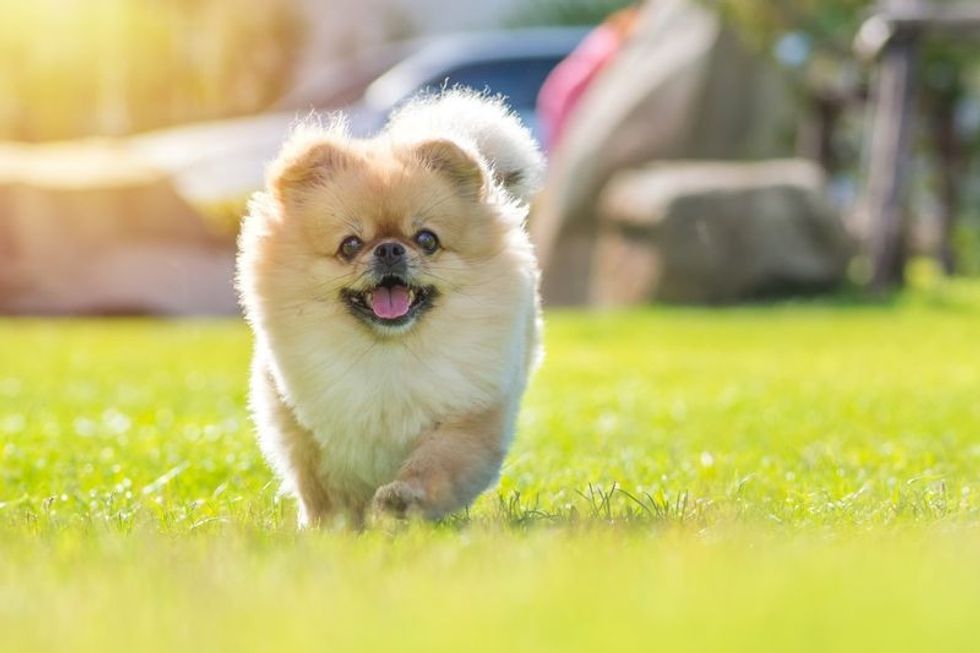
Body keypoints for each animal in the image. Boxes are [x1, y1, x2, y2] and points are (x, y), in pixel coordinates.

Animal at [234, 89, 548, 528]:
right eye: (350, 245)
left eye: (427, 239)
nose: (389, 249)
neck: (387, 353)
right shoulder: (301, 423)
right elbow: (320, 486)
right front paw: (329, 528)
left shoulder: (468, 415)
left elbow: (436, 464)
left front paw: (404, 499)